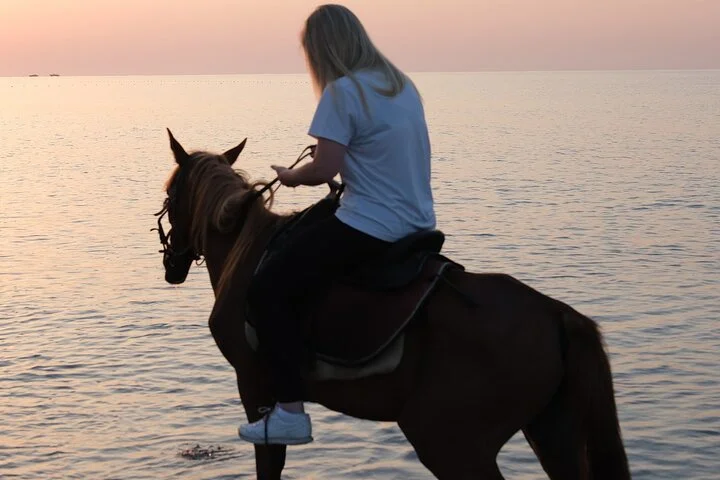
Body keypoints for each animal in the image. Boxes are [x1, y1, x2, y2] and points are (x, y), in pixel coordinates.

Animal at [154, 130, 631, 480]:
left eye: (170, 195)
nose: (172, 264)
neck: (245, 247)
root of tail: (556, 315)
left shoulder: (254, 386)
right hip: (552, 432)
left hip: (449, 441)